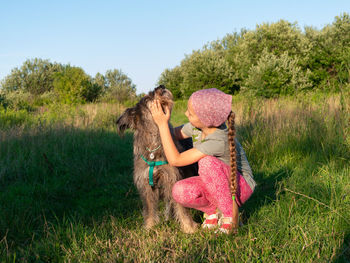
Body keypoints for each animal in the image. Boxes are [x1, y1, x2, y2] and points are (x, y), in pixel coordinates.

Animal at [116, 85, 198, 234]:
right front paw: (149, 227)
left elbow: (181, 208)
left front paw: (189, 227)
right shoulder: (146, 185)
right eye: (147, 98)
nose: (161, 86)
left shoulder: (172, 179)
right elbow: (149, 209)